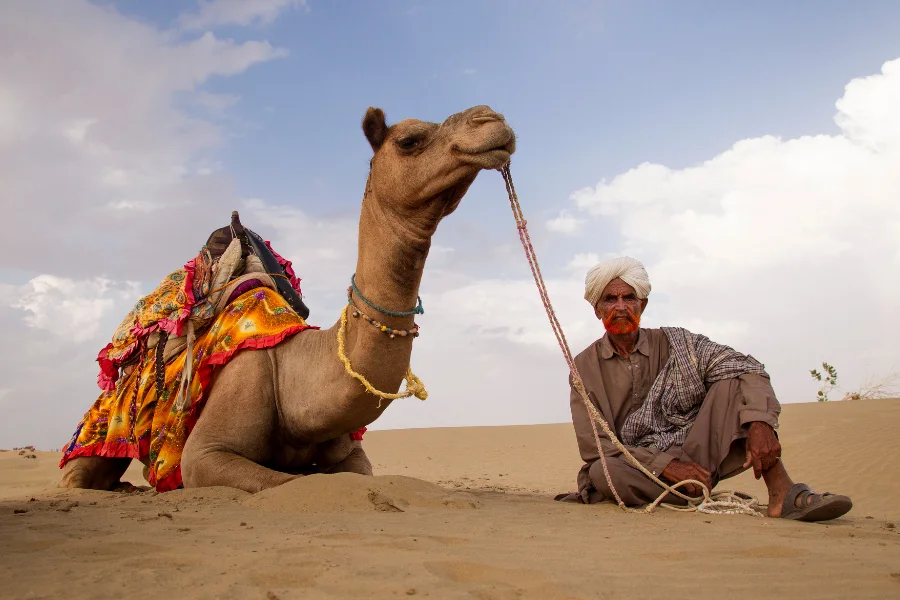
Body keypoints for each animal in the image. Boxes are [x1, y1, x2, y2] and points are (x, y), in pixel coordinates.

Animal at [59, 104, 516, 493]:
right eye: (409, 140)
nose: (491, 119)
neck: (295, 375)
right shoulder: (205, 452)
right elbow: (288, 482)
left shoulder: (351, 454)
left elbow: (352, 476)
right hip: (103, 423)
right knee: (80, 476)